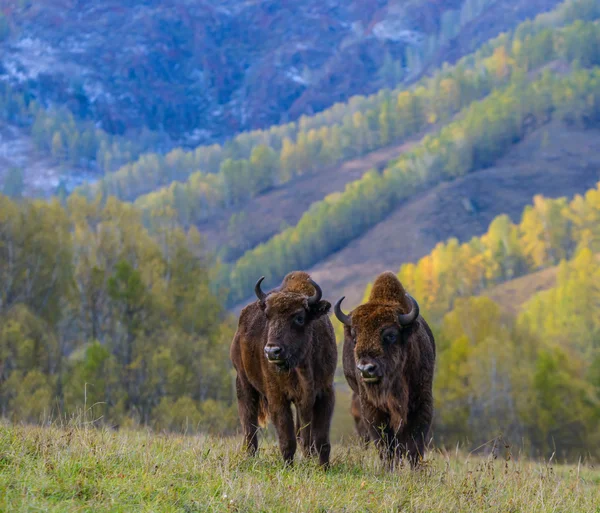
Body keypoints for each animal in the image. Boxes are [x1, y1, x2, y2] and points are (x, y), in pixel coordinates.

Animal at [230, 270, 338, 466]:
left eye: (299, 317)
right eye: (268, 316)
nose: (272, 351)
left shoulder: (324, 393)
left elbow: (320, 439)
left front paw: (323, 467)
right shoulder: (278, 397)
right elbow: (287, 439)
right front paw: (289, 466)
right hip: (243, 382)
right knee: (249, 424)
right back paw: (250, 456)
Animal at [332, 272, 436, 468]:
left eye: (390, 335)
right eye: (355, 336)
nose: (366, 369)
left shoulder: (422, 402)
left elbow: (415, 445)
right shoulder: (372, 408)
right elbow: (384, 444)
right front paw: (388, 469)